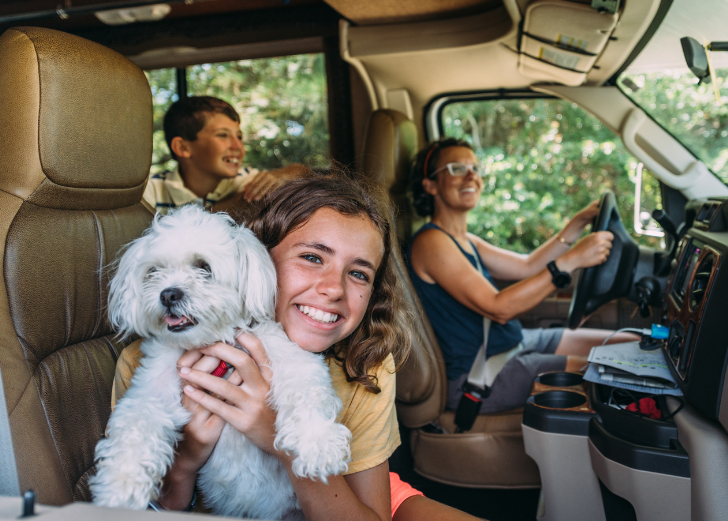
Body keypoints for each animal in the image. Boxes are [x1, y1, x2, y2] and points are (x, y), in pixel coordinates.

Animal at [89, 205, 352, 516]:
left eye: (204, 267)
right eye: (154, 271)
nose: (168, 293)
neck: (211, 344)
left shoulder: (289, 356)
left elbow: (305, 391)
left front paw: (318, 444)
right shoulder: (150, 391)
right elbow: (135, 426)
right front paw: (120, 485)